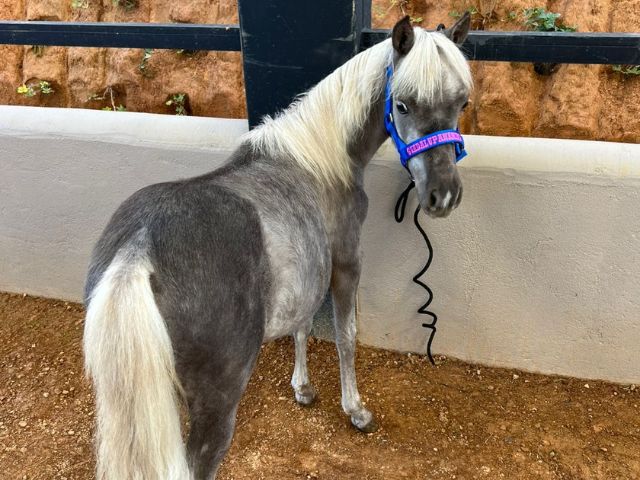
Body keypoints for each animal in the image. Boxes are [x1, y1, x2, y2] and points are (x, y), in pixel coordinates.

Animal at [83, 13, 473, 480]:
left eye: (462, 104)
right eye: (403, 105)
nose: (443, 196)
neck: (317, 158)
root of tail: (138, 251)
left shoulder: (309, 270)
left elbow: (302, 324)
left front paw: (303, 388)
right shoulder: (346, 263)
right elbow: (345, 335)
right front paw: (356, 410)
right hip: (216, 405)